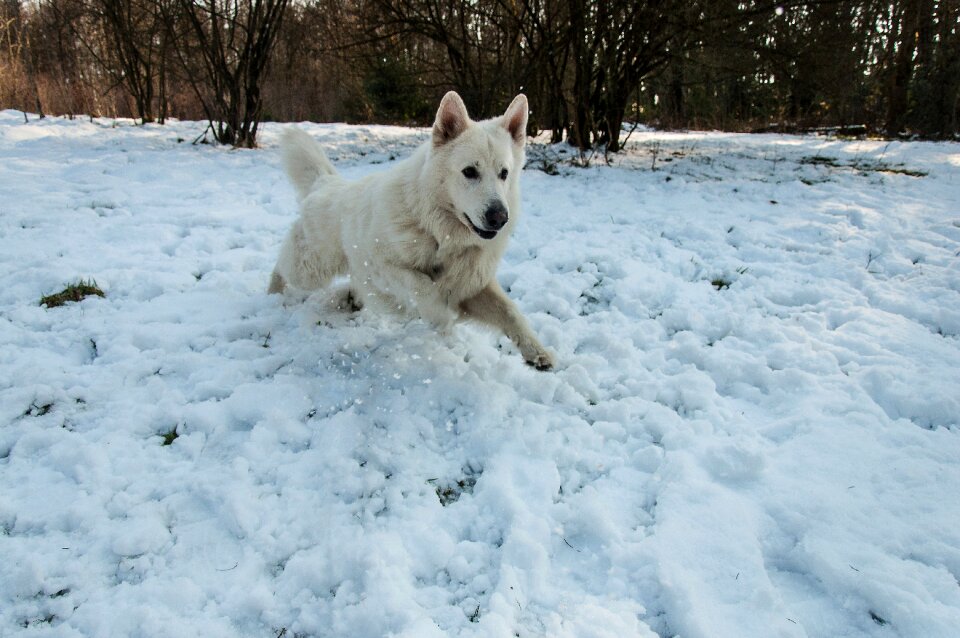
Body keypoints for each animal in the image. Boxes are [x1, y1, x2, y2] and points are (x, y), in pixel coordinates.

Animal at [270, 90, 556, 370]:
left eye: (504, 173)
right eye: (469, 172)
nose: (499, 218)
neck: (439, 234)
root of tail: (326, 182)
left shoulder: (471, 285)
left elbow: (510, 311)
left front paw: (536, 351)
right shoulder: (382, 266)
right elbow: (422, 285)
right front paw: (439, 316)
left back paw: (351, 298)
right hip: (311, 269)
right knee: (282, 265)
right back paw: (273, 294)